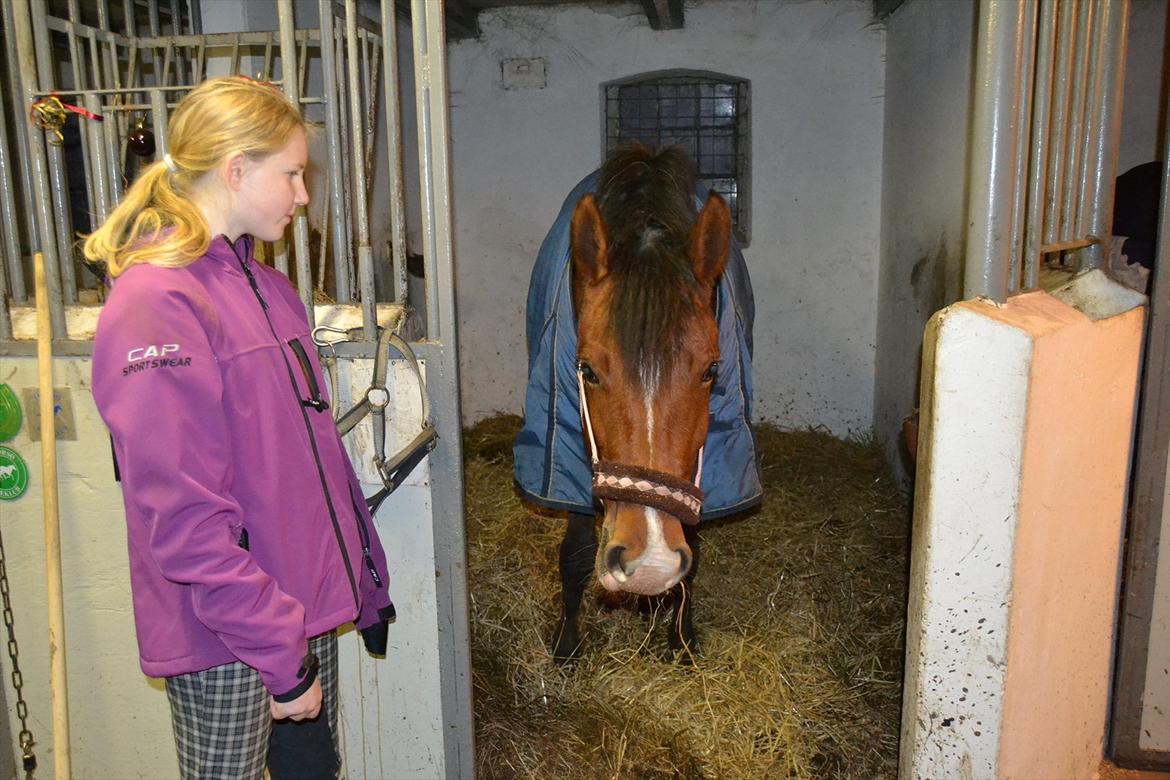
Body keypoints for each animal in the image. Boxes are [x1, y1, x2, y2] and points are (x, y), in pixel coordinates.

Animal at [554, 145, 730, 659]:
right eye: (587, 370)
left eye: (712, 370)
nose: (650, 563)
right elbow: (575, 554)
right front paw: (567, 645)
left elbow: (694, 542)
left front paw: (682, 639)